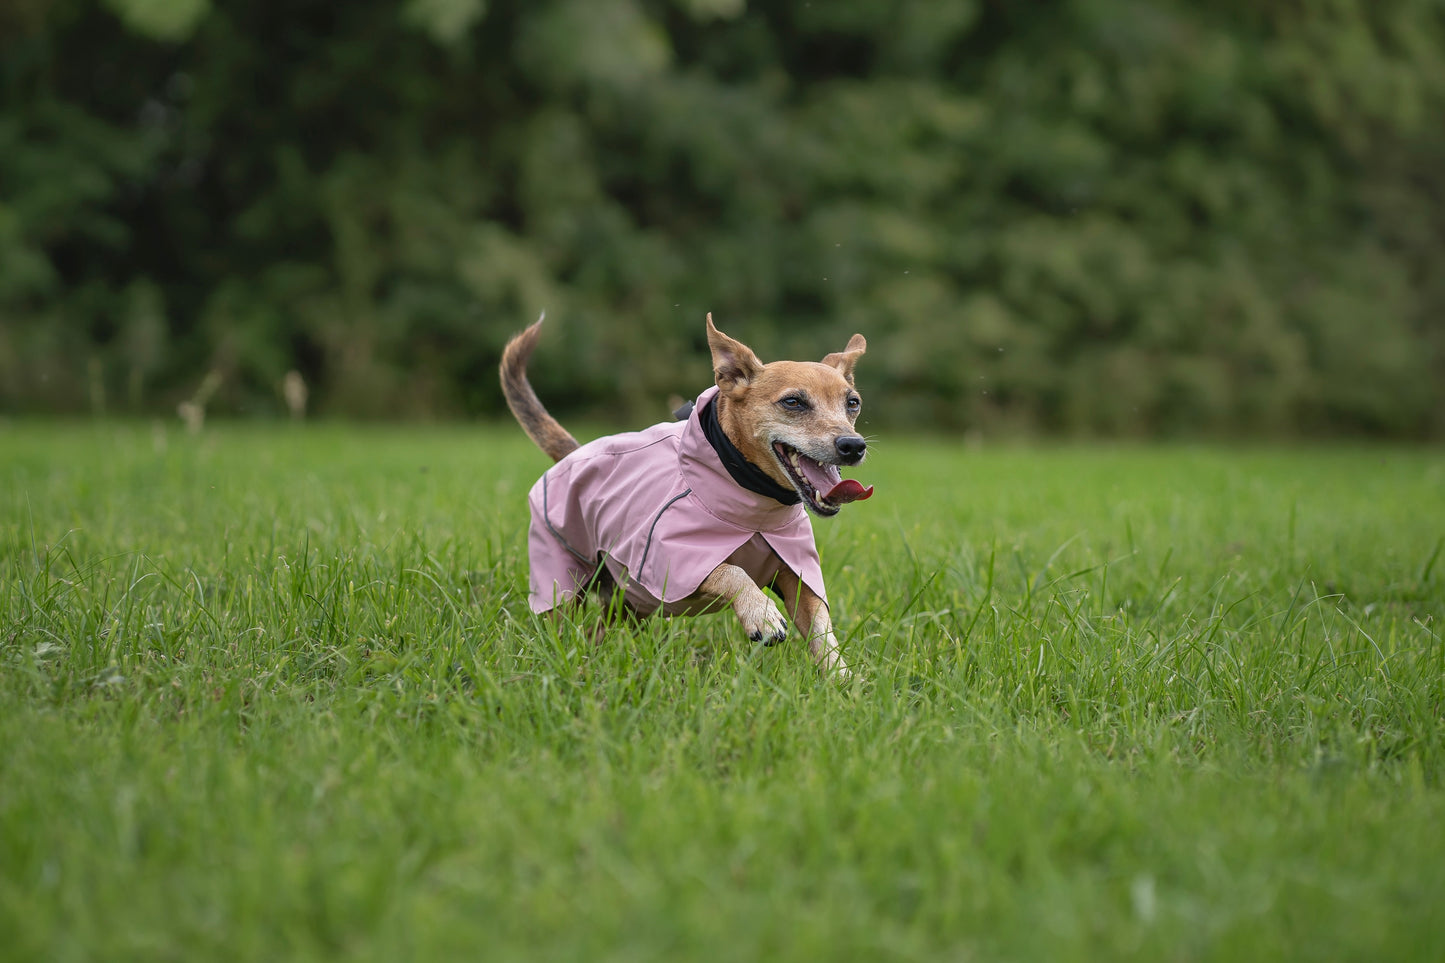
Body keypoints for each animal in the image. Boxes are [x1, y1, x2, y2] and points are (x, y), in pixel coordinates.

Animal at [497, 310, 867, 670]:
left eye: (853, 403)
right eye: (793, 402)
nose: (853, 445)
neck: (755, 505)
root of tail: (574, 453)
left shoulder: (799, 578)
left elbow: (822, 634)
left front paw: (843, 680)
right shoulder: (675, 563)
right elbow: (730, 571)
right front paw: (760, 612)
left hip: (626, 603)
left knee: (598, 631)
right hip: (563, 579)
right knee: (560, 622)